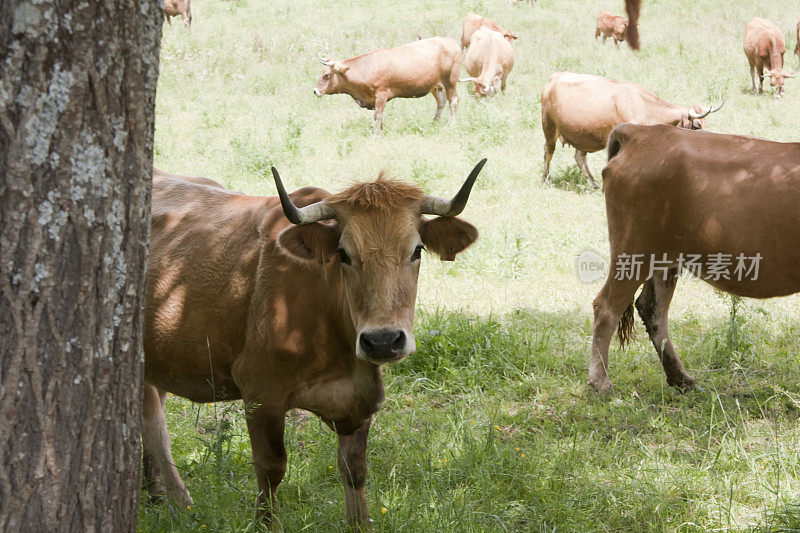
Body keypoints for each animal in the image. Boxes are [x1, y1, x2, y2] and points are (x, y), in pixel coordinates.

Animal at [141, 159, 484, 524]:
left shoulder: (360, 400)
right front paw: (265, 524)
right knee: (154, 423)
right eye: (343, 254)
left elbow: (355, 471)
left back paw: (157, 492)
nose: (382, 341)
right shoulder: (261, 394)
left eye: (417, 250)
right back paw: (180, 501)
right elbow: (270, 470)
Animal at [314, 36, 462, 134]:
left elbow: (378, 115)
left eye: (326, 75)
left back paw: (452, 125)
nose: (315, 91)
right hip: (435, 87)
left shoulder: (381, 94)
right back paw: (434, 123)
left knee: (453, 101)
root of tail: (450, 42)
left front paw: (377, 134)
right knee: (441, 102)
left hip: (450, 82)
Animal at [540, 70, 720, 187]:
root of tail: (555, 77)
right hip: (549, 127)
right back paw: (545, 179)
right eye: (696, 125)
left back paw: (593, 184)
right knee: (548, 152)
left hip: (581, 135)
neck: (645, 108)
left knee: (579, 157)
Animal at [588, 123, 800, 390]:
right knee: (606, 308)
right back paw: (600, 382)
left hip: (663, 257)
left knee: (652, 309)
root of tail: (641, 131)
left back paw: (680, 378)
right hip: (633, 248)